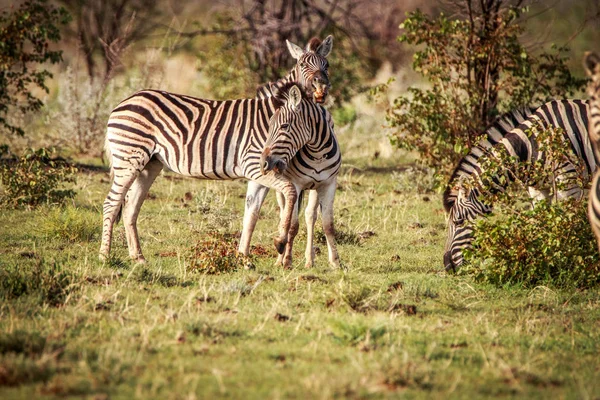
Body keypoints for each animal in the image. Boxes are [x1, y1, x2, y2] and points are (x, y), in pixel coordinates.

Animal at [97, 83, 338, 266]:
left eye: (284, 126)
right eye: (277, 126)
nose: (266, 163)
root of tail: (123, 102)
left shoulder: (258, 174)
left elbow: (251, 215)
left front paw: (244, 258)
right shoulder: (252, 166)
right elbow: (288, 192)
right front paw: (279, 242)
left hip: (149, 164)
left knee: (130, 208)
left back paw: (138, 258)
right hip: (129, 157)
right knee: (111, 203)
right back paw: (105, 256)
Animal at [442, 99, 592, 272]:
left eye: (458, 221)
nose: (448, 266)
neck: (530, 145)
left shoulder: (569, 182)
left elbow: (570, 221)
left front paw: (572, 256)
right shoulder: (538, 190)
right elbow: (540, 222)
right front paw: (541, 259)